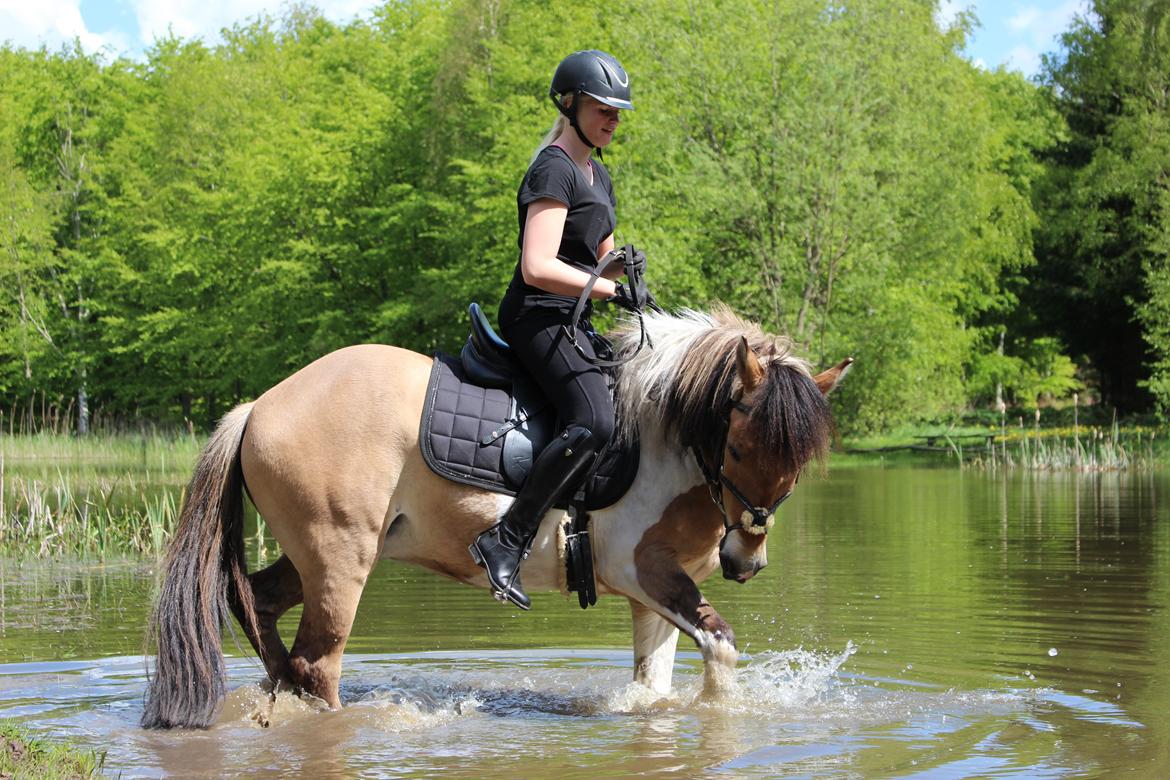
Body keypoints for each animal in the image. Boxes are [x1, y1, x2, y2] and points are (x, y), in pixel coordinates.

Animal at [141, 306, 851, 734]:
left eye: (797, 465)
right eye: (739, 450)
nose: (746, 561)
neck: (662, 440)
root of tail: (259, 406)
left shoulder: (653, 596)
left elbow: (654, 688)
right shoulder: (644, 571)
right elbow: (723, 649)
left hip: (313, 557)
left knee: (259, 603)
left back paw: (279, 693)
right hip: (339, 561)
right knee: (320, 663)